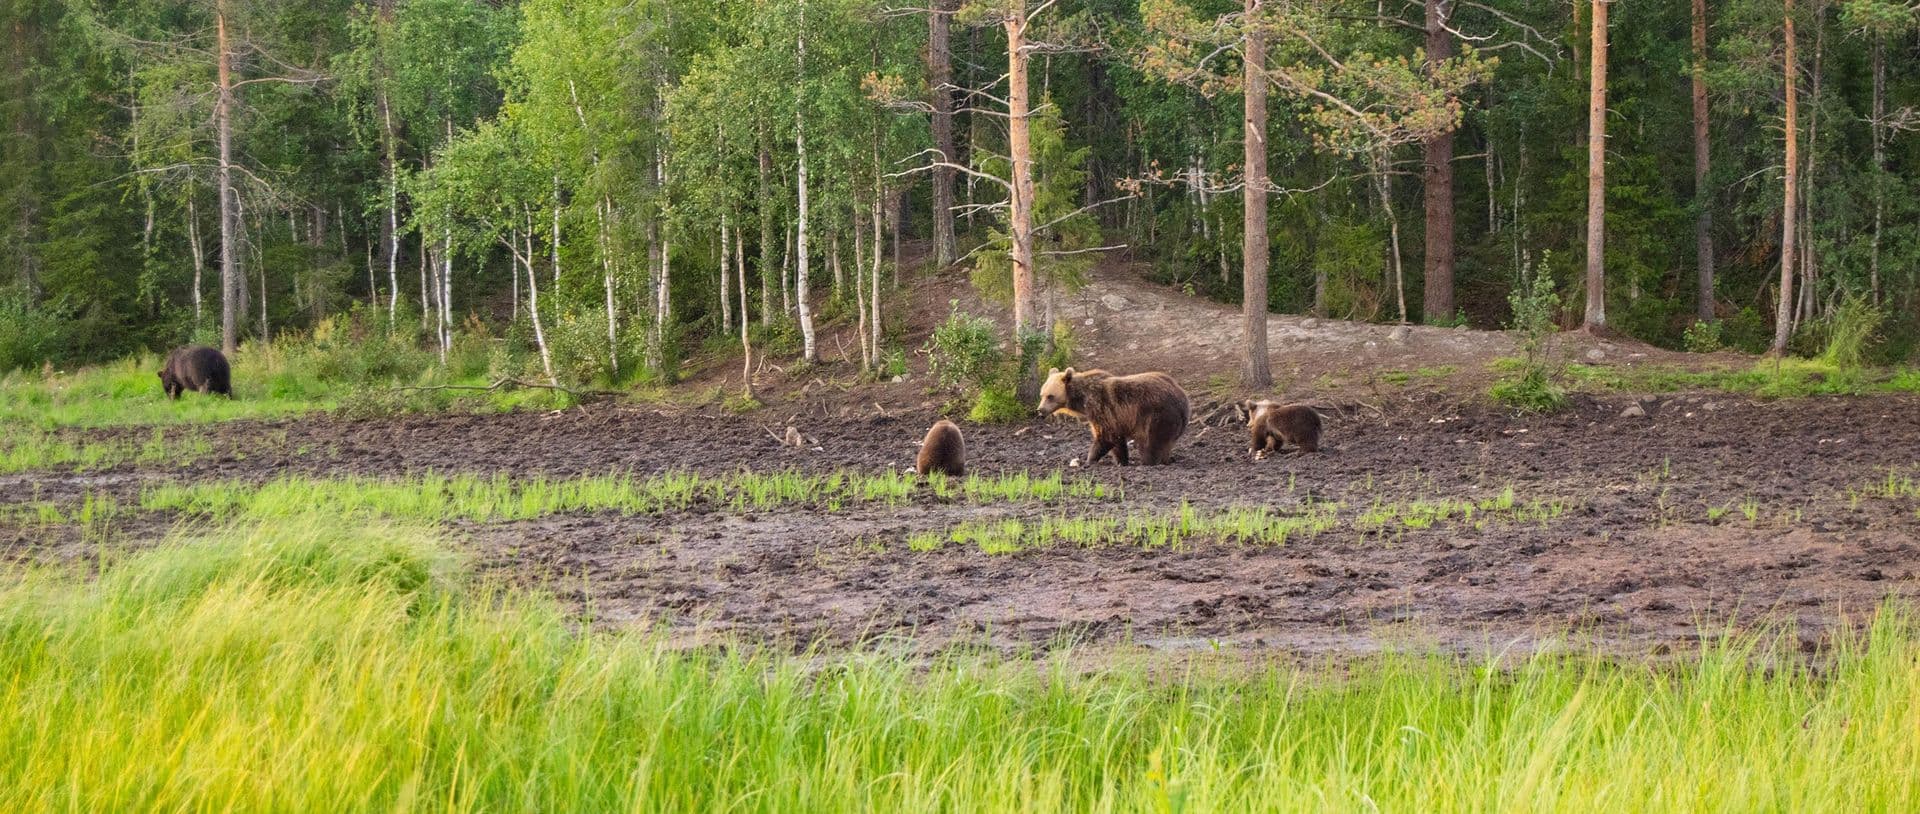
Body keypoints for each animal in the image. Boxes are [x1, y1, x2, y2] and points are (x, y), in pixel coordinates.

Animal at [1036, 367, 1189, 466]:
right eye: (1042, 395)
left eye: (1050, 396)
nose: (1040, 410)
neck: (1082, 400)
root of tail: (1182, 397)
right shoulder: (1116, 417)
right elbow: (1117, 441)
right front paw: (1121, 461)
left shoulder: (1100, 407)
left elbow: (1106, 436)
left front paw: (1089, 460)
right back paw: (1166, 459)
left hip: (1156, 416)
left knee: (1150, 442)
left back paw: (1149, 462)